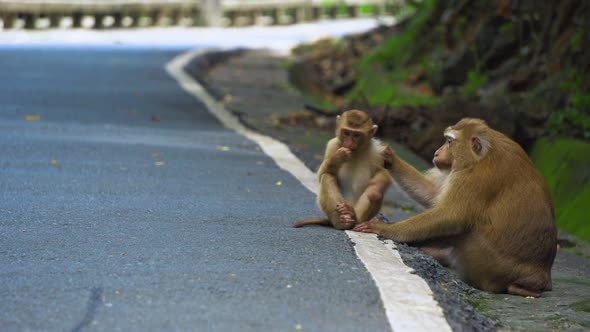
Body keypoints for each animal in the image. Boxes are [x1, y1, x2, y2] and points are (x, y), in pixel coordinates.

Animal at [356, 118, 560, 296]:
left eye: (449, 141)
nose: (437, 152)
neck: (482, 156)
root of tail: (542, 277)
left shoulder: (476, 177)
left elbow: (450, 215)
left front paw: (385, 229)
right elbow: (433, 194)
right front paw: (389, 157)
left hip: (487, 262)